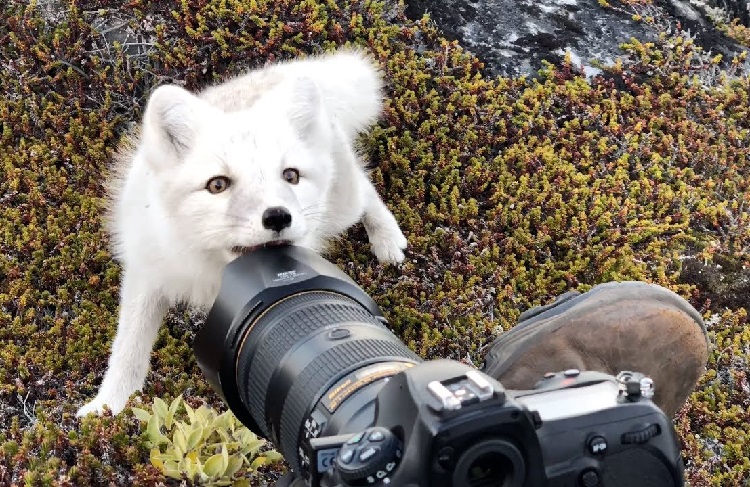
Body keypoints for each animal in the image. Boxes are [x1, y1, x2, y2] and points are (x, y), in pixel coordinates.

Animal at [75, 49, 412, 418]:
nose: (278, 216)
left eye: (290, 176)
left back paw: (387, 239)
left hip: (342, 208)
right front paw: (107, 408)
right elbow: (128, 349)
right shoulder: (147, 275)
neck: (215, 268)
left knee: (365, 187)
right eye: (217, 184)